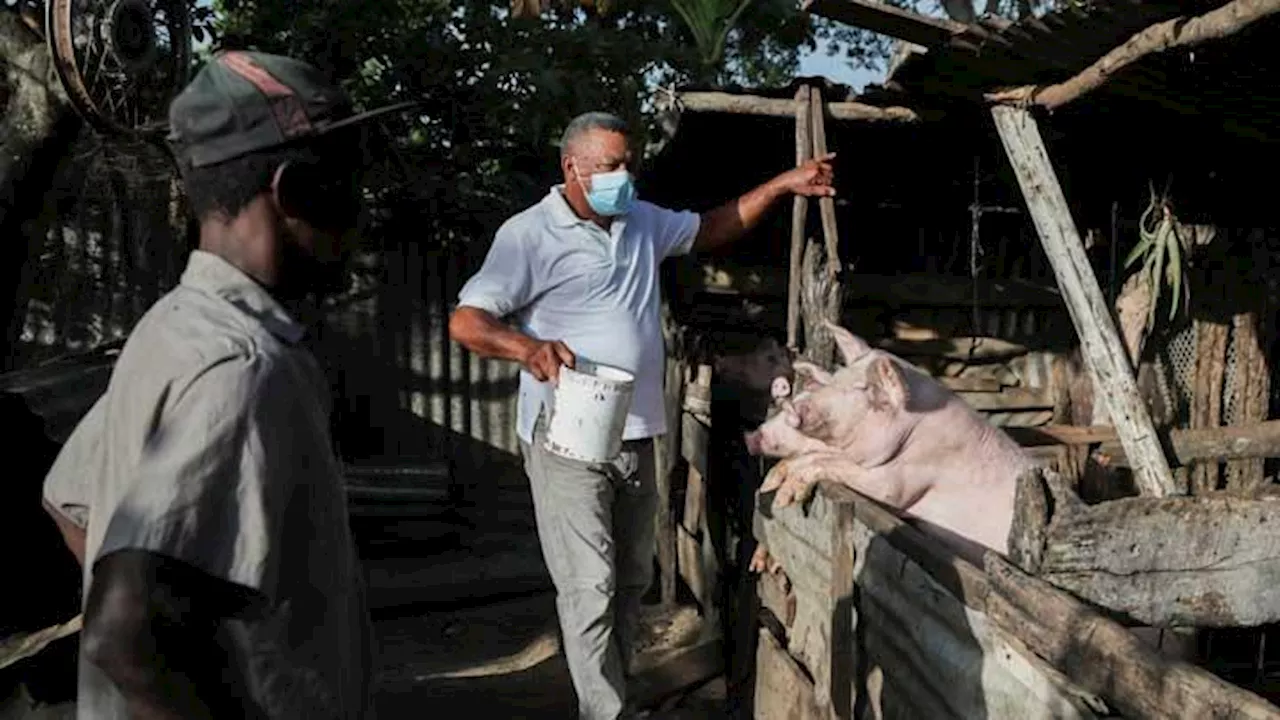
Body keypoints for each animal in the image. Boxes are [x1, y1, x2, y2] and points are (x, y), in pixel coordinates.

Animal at [747, 320, 1034, 556]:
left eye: (862, 389)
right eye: (836, 380)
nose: (750, 437)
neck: (914, 428)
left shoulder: (902, 481)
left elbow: (833, 467)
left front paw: (782, 497)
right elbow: (816, 457)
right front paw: (771, 486)